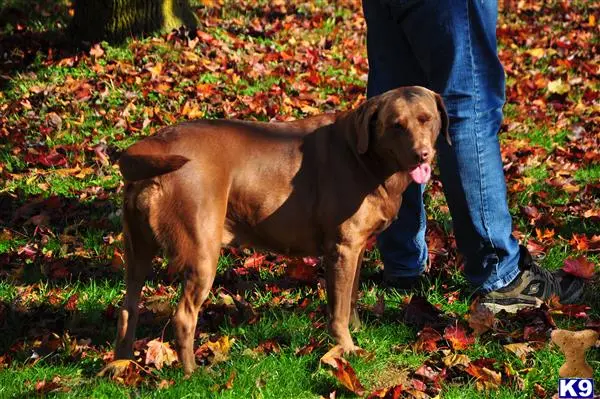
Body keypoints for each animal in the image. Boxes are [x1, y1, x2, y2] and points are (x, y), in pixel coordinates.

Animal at [115, 86, 448, 376]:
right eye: (396, 125)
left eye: (426, 119)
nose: (422, 154)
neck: (365, 156)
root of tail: (156, 143)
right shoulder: (343, 247)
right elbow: (338, 309)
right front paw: (347, 349)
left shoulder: (356, 247)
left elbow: (351, 296)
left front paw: (358, 331)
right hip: (202, 253)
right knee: (183, 317)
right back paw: (192, 374)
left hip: (135, 251)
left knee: (127, 308)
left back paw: (119, 365)